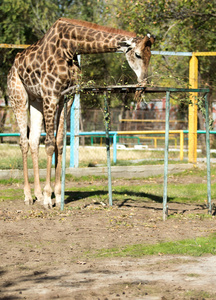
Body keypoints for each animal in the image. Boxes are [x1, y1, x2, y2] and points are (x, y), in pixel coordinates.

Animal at [7, 17, 155, 207]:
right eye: (137, 54)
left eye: (150, 56)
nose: (143, 84)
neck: (69, 47)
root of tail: (13, 65)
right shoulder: (51, 95)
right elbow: (50, 144)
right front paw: (48, 198)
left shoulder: (66, 97)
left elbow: (60, 142)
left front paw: (58, 196)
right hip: (19, 98)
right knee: (23, 142)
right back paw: (27, 196)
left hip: (36, 101)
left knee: (33, 141)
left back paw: (37, 195)